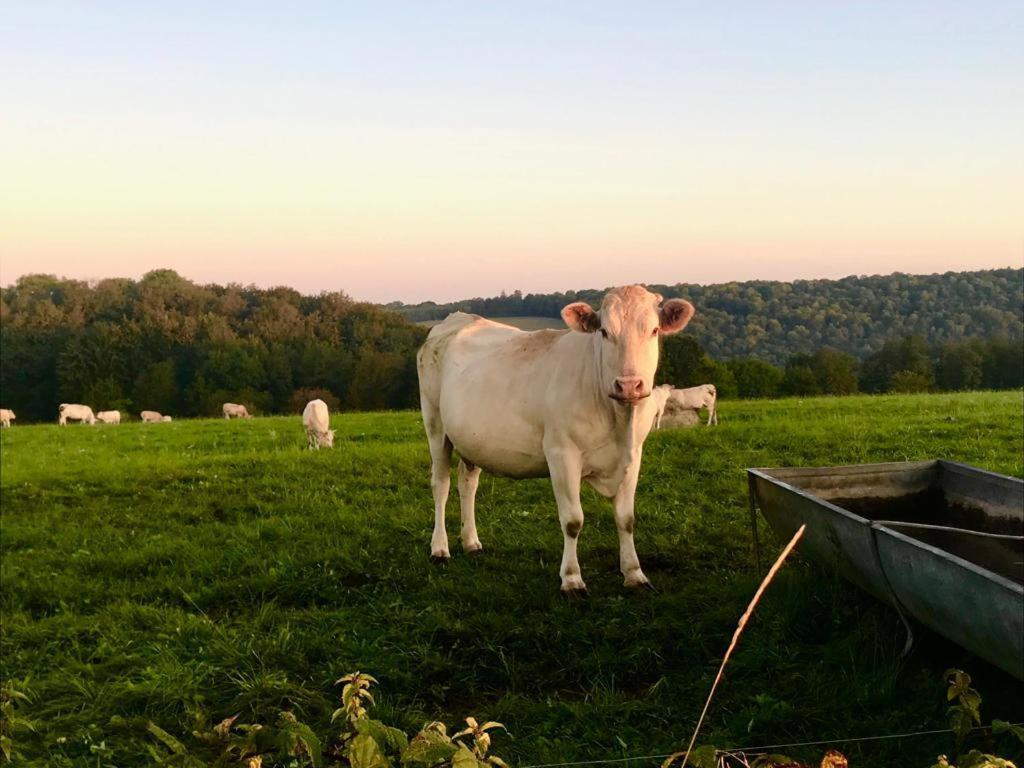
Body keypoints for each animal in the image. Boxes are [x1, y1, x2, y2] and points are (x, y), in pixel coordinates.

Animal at [417, 286, 696, 593]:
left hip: (471, 438)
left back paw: (471, 542)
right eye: (604, 332)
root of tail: (458, 318)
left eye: (655, 330)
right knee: (441, 484)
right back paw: (439, 549)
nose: (628, 385)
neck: (619, 422)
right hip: (435, 423)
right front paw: (572, 579)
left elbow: (626, 519)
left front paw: (634, 574)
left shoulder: (633, 455)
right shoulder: (562, 454)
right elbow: (573, 520)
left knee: (467, 484)